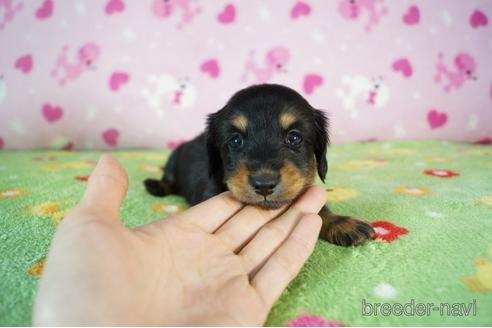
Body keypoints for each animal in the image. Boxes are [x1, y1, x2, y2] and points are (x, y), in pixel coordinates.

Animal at [144, 84, 374, 246]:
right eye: (236, 140)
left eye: (294, 138)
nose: (264, 185)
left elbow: (319, 209)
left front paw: (343, 223)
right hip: (173, 160)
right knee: (168, 179)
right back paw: (156, 185)